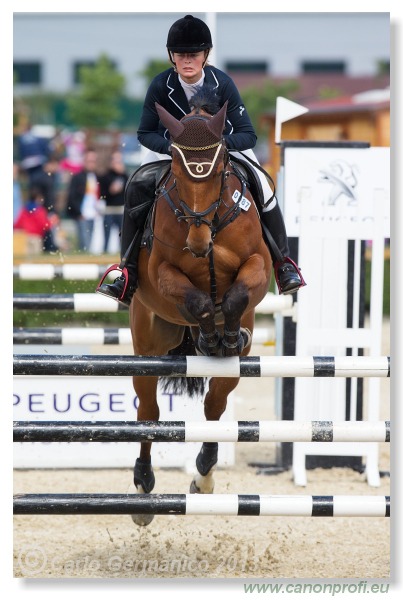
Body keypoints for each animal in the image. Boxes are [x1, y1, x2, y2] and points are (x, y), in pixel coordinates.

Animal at [129, 95, 274, 524]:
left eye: (221, 162)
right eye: (177, 169)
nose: (197, 244)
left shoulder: (258, 265)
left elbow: (237, 296)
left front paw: (224, 334)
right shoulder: (162, 272)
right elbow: (197, 300)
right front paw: (212, 332)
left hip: (236, 367)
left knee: (215, 406)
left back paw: (204, 477)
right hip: (147, 347)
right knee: (149, 411)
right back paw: (143, 488)